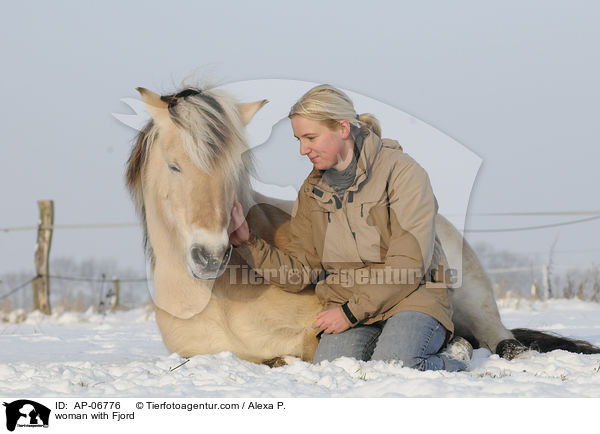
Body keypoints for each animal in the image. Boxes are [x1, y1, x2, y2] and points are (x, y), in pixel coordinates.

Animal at [126, 85, 600, 366]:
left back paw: (466, 346)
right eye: (174, 166)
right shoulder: (194, 352)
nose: (211, 255)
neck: (220, 295)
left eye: (235, 170)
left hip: (475, 301)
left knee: (500, 340)